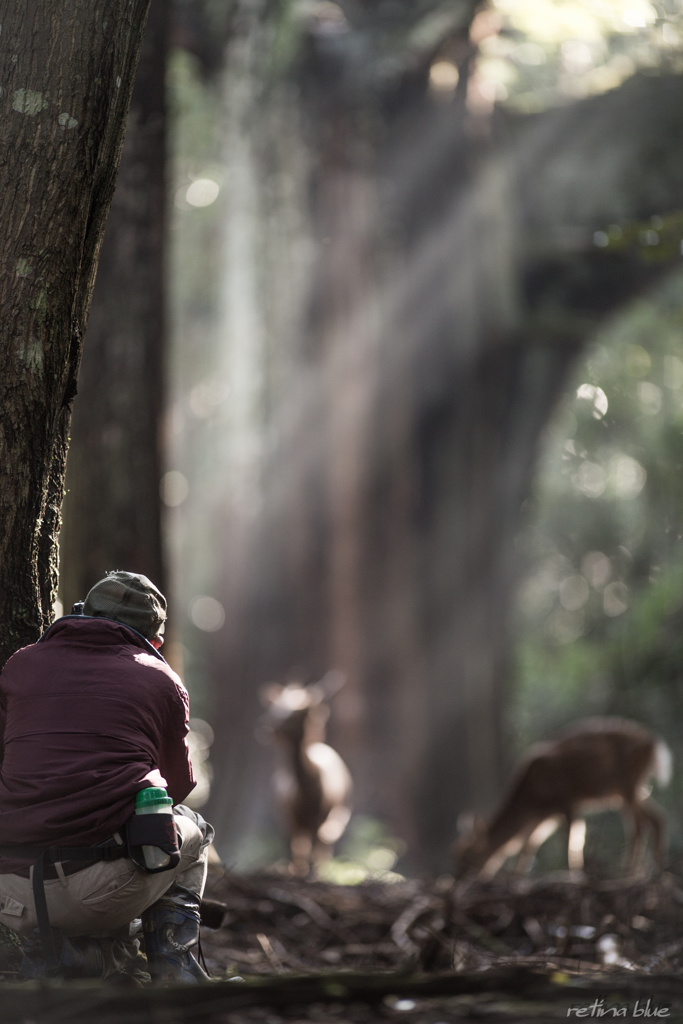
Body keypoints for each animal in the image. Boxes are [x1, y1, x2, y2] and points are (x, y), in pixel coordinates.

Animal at [258, 671, 352, 872]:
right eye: (277, 706)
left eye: (300, 712)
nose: (268, 726)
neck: (303, 797)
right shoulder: (286, 816)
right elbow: (293, 851)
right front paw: (294, 870)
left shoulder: (321, 816)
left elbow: (314, 851)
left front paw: (313, 872)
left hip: (340, 812)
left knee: (324, 845)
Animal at [454, 716, 671, 876]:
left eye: (467, 856)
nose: (456, 880)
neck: (531, 798)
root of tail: (655, 744)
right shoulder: (545, 816)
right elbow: (528, 845)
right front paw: (517, 880)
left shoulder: (567, 800)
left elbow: (571, 842)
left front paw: (573, 874)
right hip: (626, 790)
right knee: (651, 819)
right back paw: (645, 871)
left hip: (627, 784)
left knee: (645, 821)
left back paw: (640, 871)